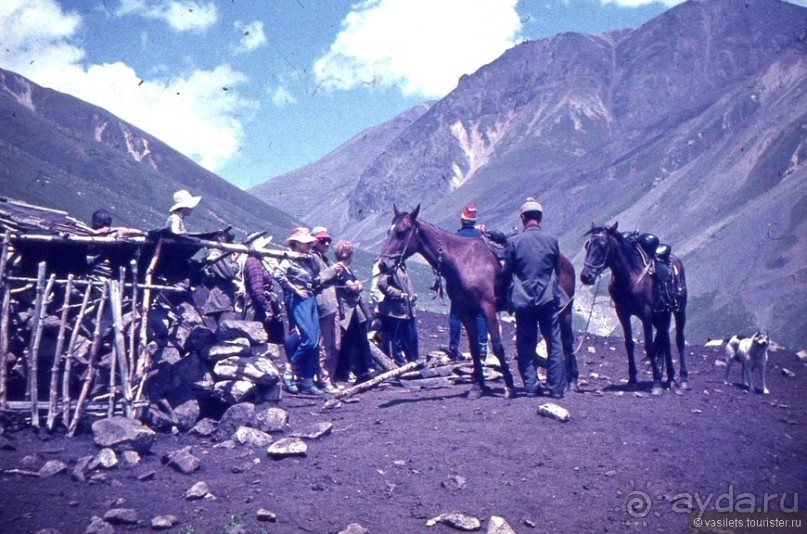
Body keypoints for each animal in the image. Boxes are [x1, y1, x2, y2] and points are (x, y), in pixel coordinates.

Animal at [380, 205, 580, 398]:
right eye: (388, 231)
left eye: (402, 232)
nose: (382, 264)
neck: (463, 260)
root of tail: (565, 262)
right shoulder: (466, 311)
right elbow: (475, 348)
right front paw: (478, 386)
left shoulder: (488, 308)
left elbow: (498, 347)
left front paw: (509, 386)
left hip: (566, 310)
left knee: (567, 341)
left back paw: (572, 382)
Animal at [580, 224, 688, 396]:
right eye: (588, 245)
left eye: (603, 246)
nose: (586, 276)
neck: (629, 276)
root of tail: (674, 259)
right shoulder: (623, 314)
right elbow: (629, 344)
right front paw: (632, 380)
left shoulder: (646, 315)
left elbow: (649, 346)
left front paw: (657, 382)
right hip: (661, 316)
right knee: (665, 340)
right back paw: (670, 379)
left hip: (679, 311)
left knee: (679, 339)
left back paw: (683, 379)